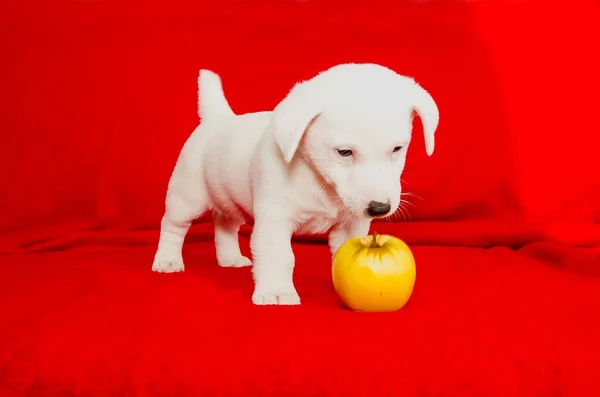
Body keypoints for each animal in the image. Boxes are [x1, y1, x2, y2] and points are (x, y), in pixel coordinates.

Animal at [152, 62, 438, 304]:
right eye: (344, 152)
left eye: (397, 149)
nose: (379, 208)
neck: (319, 180)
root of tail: (218, 119)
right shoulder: (274, 221)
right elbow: (279, 255)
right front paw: (276, 292)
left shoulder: (350, 225)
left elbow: (342, 250)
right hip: (186, 197)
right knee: (173, 227)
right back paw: (167, 260)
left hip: (229, 200)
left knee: (225, 225)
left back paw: (229, 258)